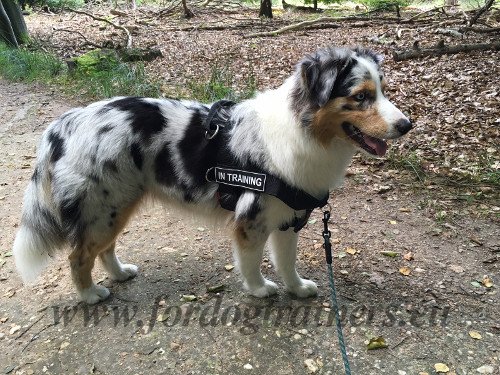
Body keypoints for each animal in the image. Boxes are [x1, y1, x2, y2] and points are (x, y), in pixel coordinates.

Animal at [11, 47, 412, 306]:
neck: (304, 130)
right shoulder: (252, 220)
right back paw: (90, 294)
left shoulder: (287, 219)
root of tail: (65, 123)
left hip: (117, 206)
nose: (407, 125)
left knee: (104, 248)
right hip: (102, 209)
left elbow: (287, 262)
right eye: (361, 96)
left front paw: (296, 289)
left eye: (382, 91)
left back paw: (120, 273)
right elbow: (251, 262)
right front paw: (260, 289)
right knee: (78, 256)